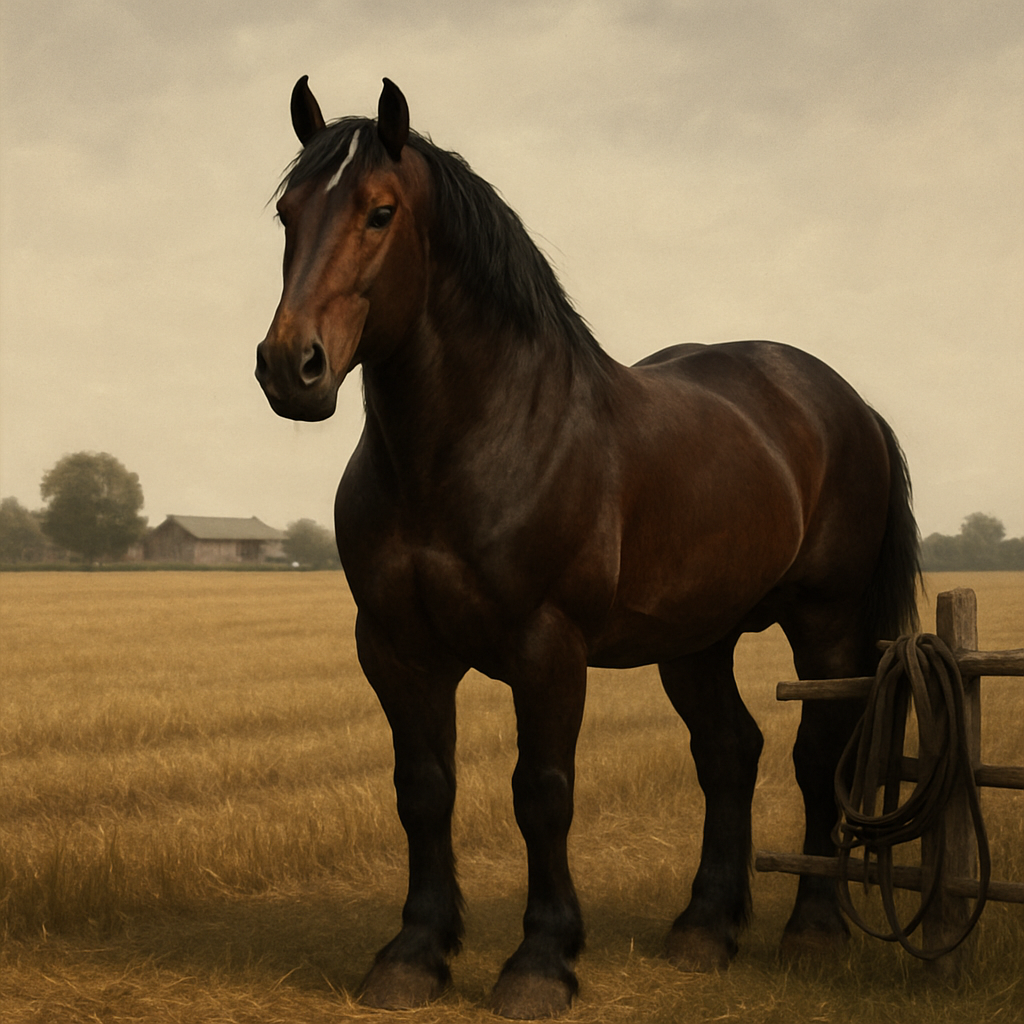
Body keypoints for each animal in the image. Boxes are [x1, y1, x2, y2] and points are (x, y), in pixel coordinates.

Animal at [255, 77, 919, 1019]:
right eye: (288, 213)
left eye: (380, 211)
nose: (291, 367)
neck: (469, 445)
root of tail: (848, 403)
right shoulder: (396, 648)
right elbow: (423, 790)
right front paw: (414, 956)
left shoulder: (547, 648)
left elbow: (542, 793)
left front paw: (541, 963)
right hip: (696, 641)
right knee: (729, 753)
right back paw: (704, 931)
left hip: (826, 624)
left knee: (816, 754)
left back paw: (813, 932)